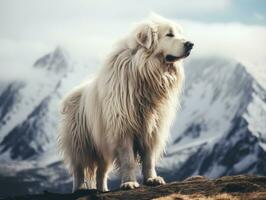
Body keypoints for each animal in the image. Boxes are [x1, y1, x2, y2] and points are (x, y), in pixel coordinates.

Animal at [58, 14, 193, 192]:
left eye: (179, 33)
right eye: (169, 34)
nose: (190, 44)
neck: (143, 69)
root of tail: (76, 91)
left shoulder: (152, 129)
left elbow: (149, 159)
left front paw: (152, 179)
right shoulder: (122, 128)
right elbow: (128, 160)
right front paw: (129, 183)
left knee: (102, 172)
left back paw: (103, 190)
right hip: (80, 143)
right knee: (78, 169)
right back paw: (79, 188)